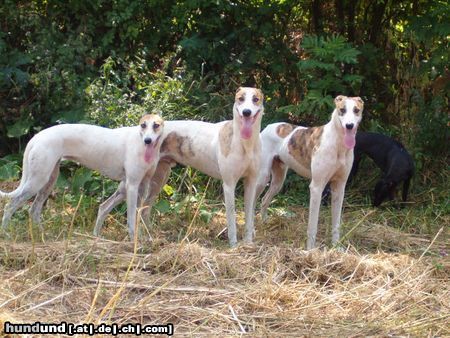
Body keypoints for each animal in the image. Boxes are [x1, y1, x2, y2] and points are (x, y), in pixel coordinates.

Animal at [0, 114, 163, 238]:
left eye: (156, 125)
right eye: (143, 125)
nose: (147, 140)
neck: (140, 141)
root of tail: (36, 137)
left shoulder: (143, 186)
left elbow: (139, 215)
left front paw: (142, 238)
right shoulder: (132, 186)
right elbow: (131, 218)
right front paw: (133, 240)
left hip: (49, 181)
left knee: (34, 210)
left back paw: (43, 235)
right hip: (37, 181)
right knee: (11, 205)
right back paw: (6, 233)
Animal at [94, 86, 264, 247]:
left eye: (256, 99)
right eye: (240, 98)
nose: (247, 112)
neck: (244, 143)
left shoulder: (251, 183)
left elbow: (249, 217)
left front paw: (248, 243)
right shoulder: (229, 185)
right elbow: (232, 220)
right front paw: (234, 245)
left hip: (157, 180)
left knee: (142, 210)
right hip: (132, 183)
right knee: (106, 206)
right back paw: (98, 236)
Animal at [256, 96, 362, 250]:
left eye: (356, 110)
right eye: (342, 109)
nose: (349, 126)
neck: (337, 144)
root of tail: (269, 127)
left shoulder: (339, 188)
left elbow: (336, 224)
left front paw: (336, 246)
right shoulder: (316, 188)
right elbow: (313, 225)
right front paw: (311, 250)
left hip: (278, 181)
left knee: (264, 200)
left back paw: (264, 222)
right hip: (262, 178)